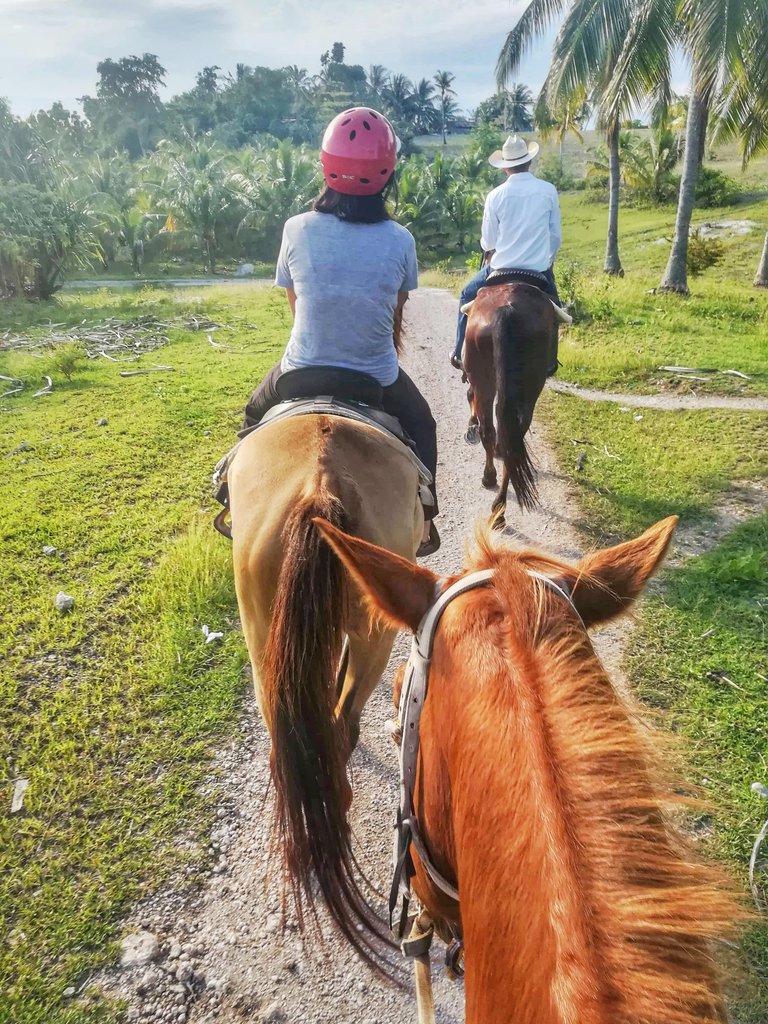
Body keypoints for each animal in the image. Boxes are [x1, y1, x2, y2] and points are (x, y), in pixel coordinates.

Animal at [460, 280, 557, 520]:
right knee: (509, 439)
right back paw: (498, 506)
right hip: (528, 390)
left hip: (486, 381)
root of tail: (507, 310)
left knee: (492, 432)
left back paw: (490, 484)